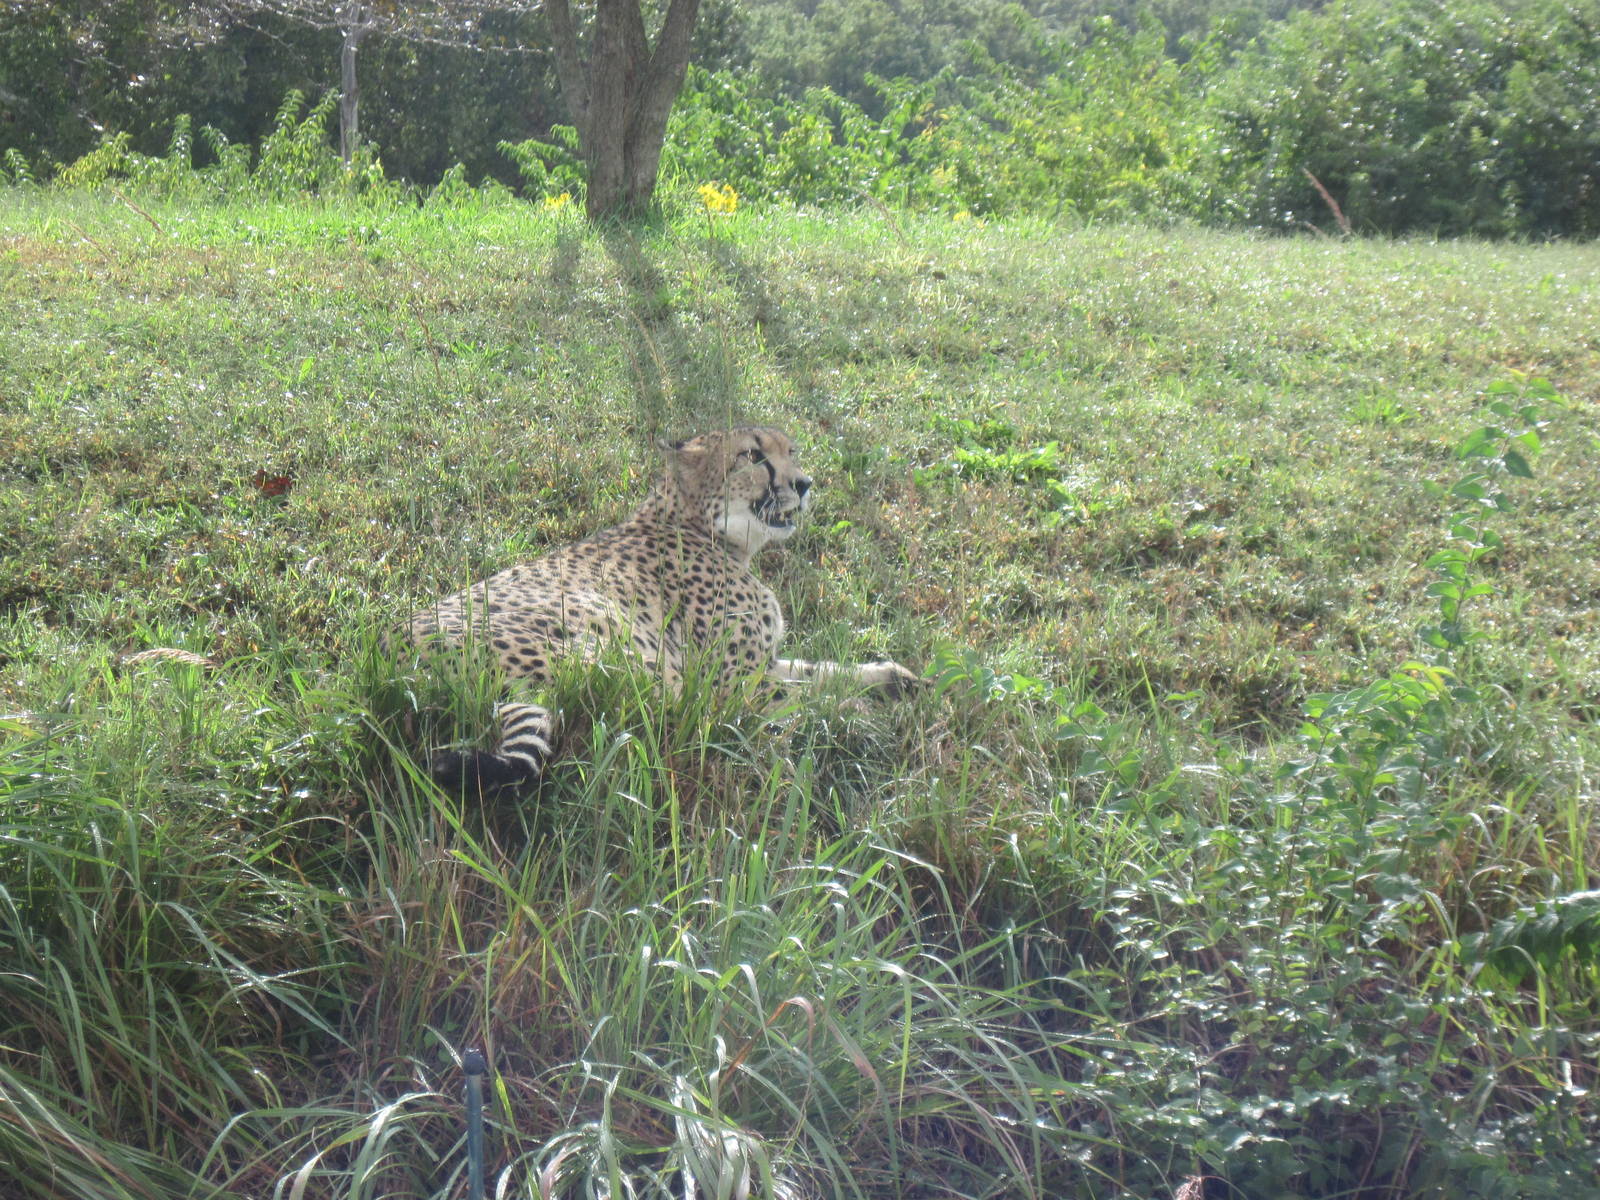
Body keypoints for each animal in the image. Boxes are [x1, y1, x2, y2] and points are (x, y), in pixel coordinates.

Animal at [402, 426, 921, 791]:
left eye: (791, 452)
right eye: (753, 456)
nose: (805, 483)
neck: (704, 529)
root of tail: (397, 649)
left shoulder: (762, 663)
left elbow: (819, 671)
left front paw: (896, 679)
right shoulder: (726, 683)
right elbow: (807, 694)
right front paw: (869, 714)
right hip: (619, 646)